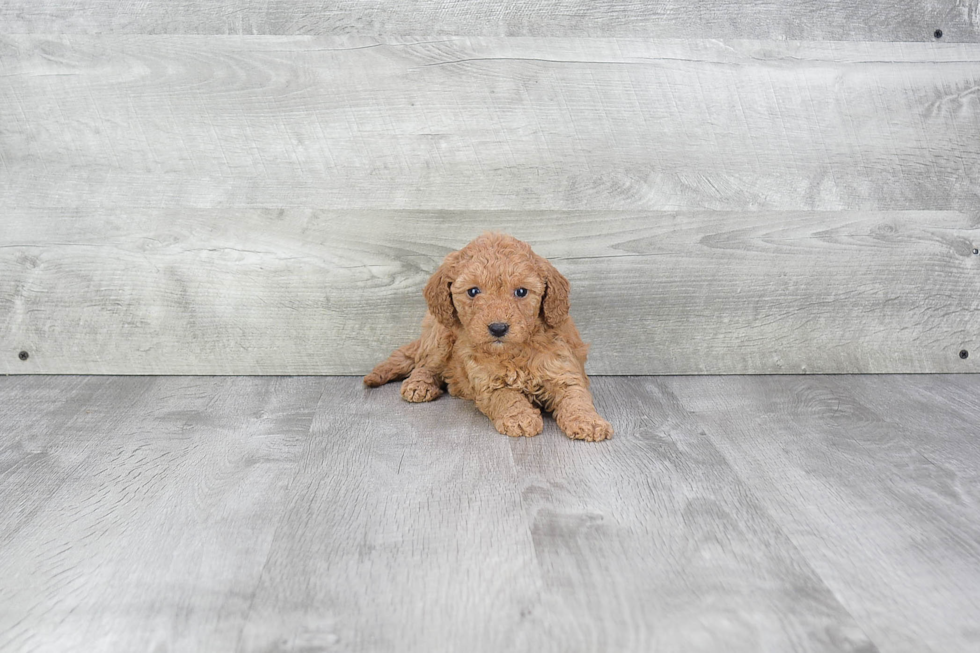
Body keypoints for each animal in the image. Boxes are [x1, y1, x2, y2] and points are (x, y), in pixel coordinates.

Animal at [366, 232, 612, 440]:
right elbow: (508, 397)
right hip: (440, 335)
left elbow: (577, 398)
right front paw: (520, 418)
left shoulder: (564, 370)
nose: (498, 328)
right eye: (473, 291)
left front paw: (589, 422)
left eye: (521, 292)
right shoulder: (488, 384)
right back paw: (419, 385)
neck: (515, 351)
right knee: (424, 364)